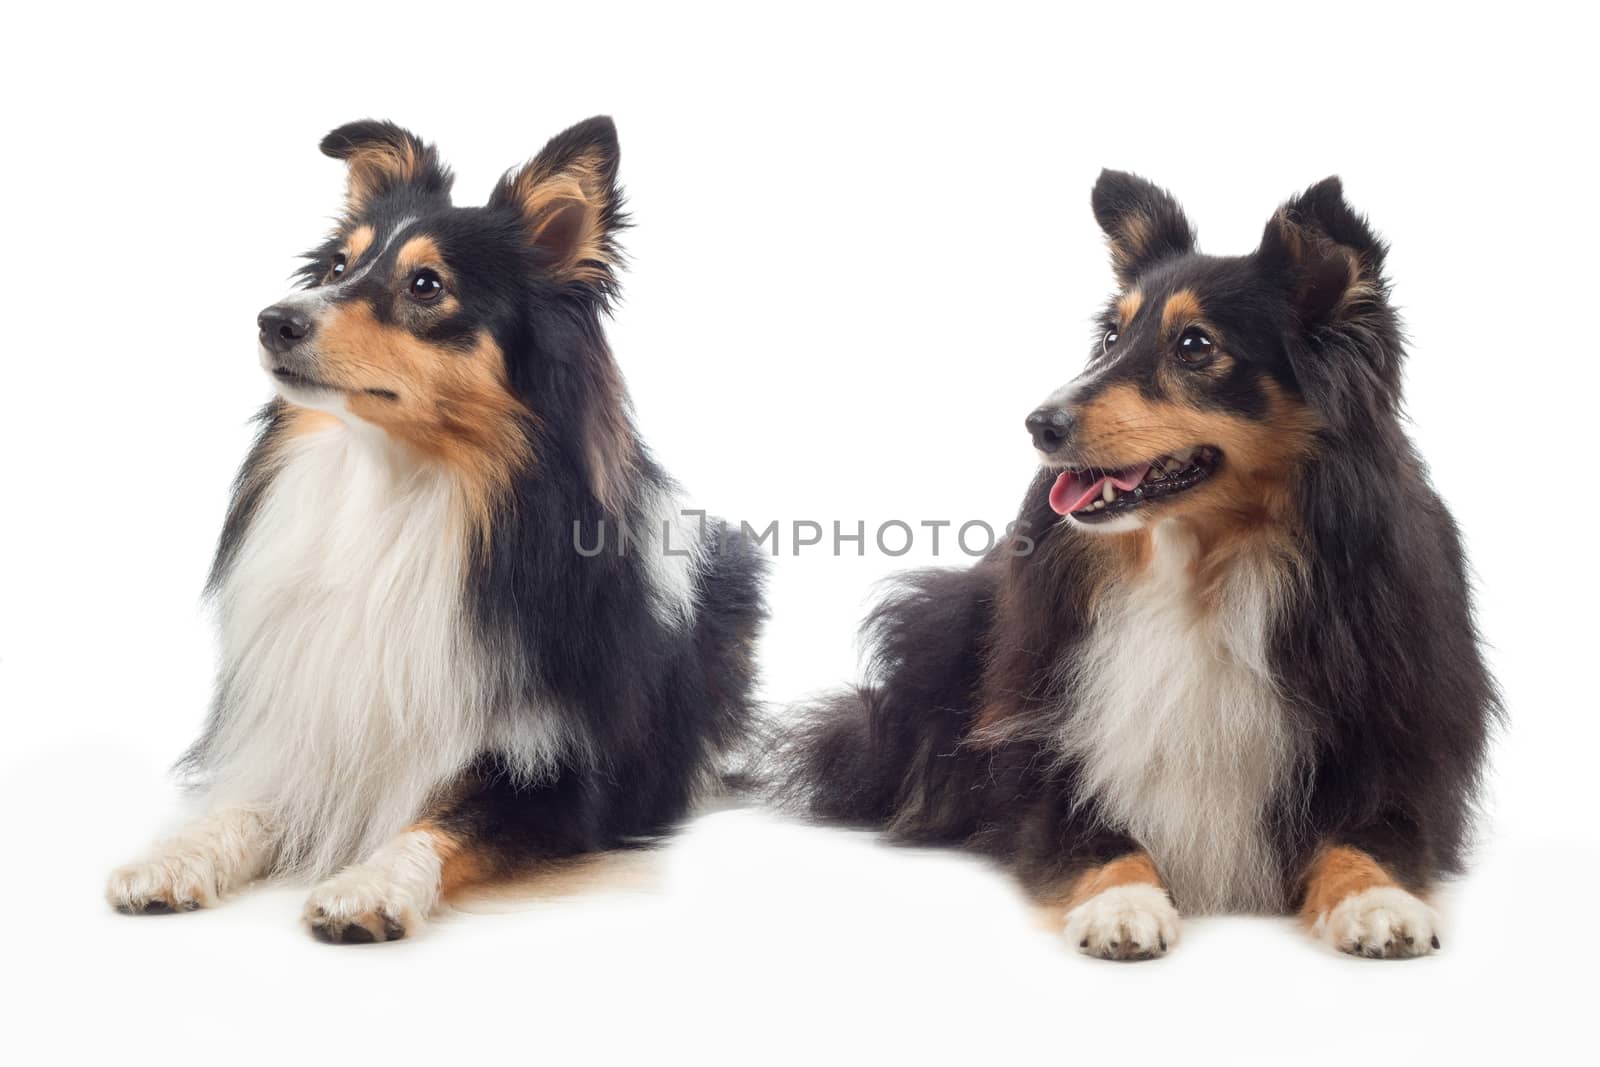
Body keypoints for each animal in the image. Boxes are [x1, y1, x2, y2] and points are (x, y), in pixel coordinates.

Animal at [108, 115, 768, 940]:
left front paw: (369, 886)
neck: (398, 487)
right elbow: (244, 804)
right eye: (337, 263)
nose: (272, 320)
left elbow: (446, 818)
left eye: (427, 284)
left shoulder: (562, 775)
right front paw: (171, 859)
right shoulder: (307, 726)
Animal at [774, 173, 1497, 959]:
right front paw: (1121, 906)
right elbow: (1095, 834)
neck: (1202, 572)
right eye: (1111, 337)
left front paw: (1379, 905)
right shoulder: (1048, 750)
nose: (1039, 424)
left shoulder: (1392, 747)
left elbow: (1371, 836)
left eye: (1195, 344)